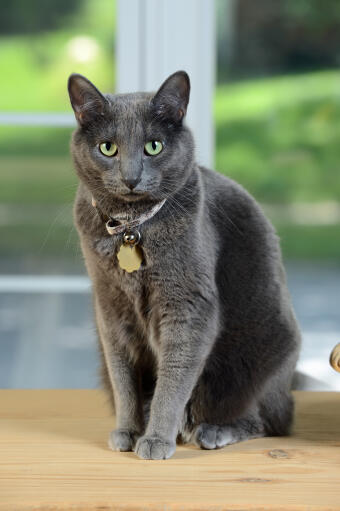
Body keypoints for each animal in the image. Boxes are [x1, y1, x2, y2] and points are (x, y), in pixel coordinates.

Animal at [68, 71, 300, 460]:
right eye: (107, 148)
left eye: (154, 146)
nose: (131, 178)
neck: (132, 227)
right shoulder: (111, 307)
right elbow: (123, 377)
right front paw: (128, 431)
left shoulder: (188, 304)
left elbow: (174, 378)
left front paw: (156, 438)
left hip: (261, 357)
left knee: (267, 420)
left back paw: (212, 431)